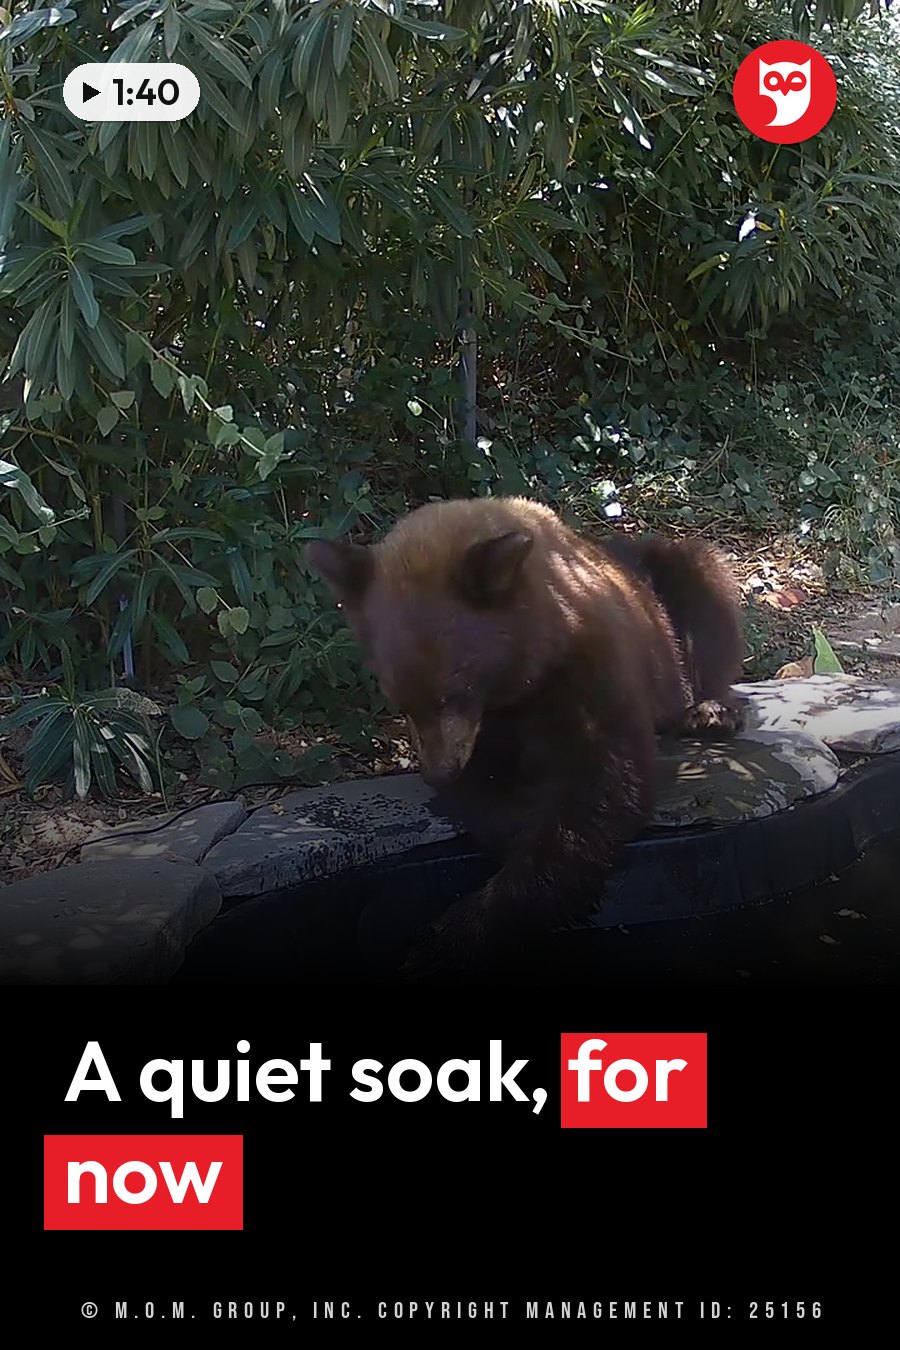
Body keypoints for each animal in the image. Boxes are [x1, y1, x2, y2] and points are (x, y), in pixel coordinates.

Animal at [307, 497, 745, 975]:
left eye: (454, 691)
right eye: (399, 701)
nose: (438, 772)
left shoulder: (592, 671)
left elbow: (603, 787)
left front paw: (451, 936)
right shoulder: (483, 730)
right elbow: (486, 791)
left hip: (674, 591)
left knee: (706, 600)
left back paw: (708, 712)